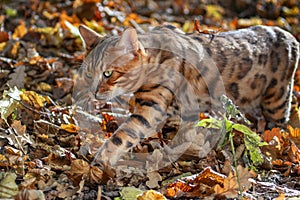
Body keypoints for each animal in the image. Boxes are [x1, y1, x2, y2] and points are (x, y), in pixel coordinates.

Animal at [73, 24, 300, 168]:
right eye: (89, 74)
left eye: (108, 73)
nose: (93, 91)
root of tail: (288, 35)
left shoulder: (151, 108)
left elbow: (124, 134)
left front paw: (103, 158)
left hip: (277, 100)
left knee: (279, 125)